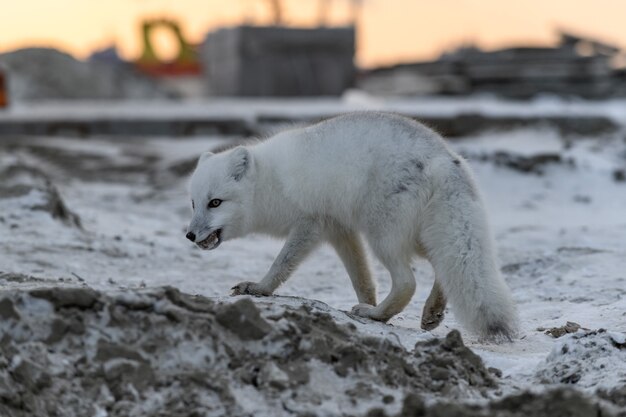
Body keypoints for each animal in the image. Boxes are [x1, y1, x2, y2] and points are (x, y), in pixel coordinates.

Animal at [185, 112, 516, 340]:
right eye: (193, 203)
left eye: (215, 203)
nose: (189, 234)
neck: (268, 183)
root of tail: (443, 156)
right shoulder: (339, 230)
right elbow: (361, 278)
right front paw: (365, 300)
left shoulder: (310, 223)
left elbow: (281, 264)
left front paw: (259, 288)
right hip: (418, 235)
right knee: (443, 267)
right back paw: (428, 312)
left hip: (383, 235)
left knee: (407, 282)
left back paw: (377, 315)